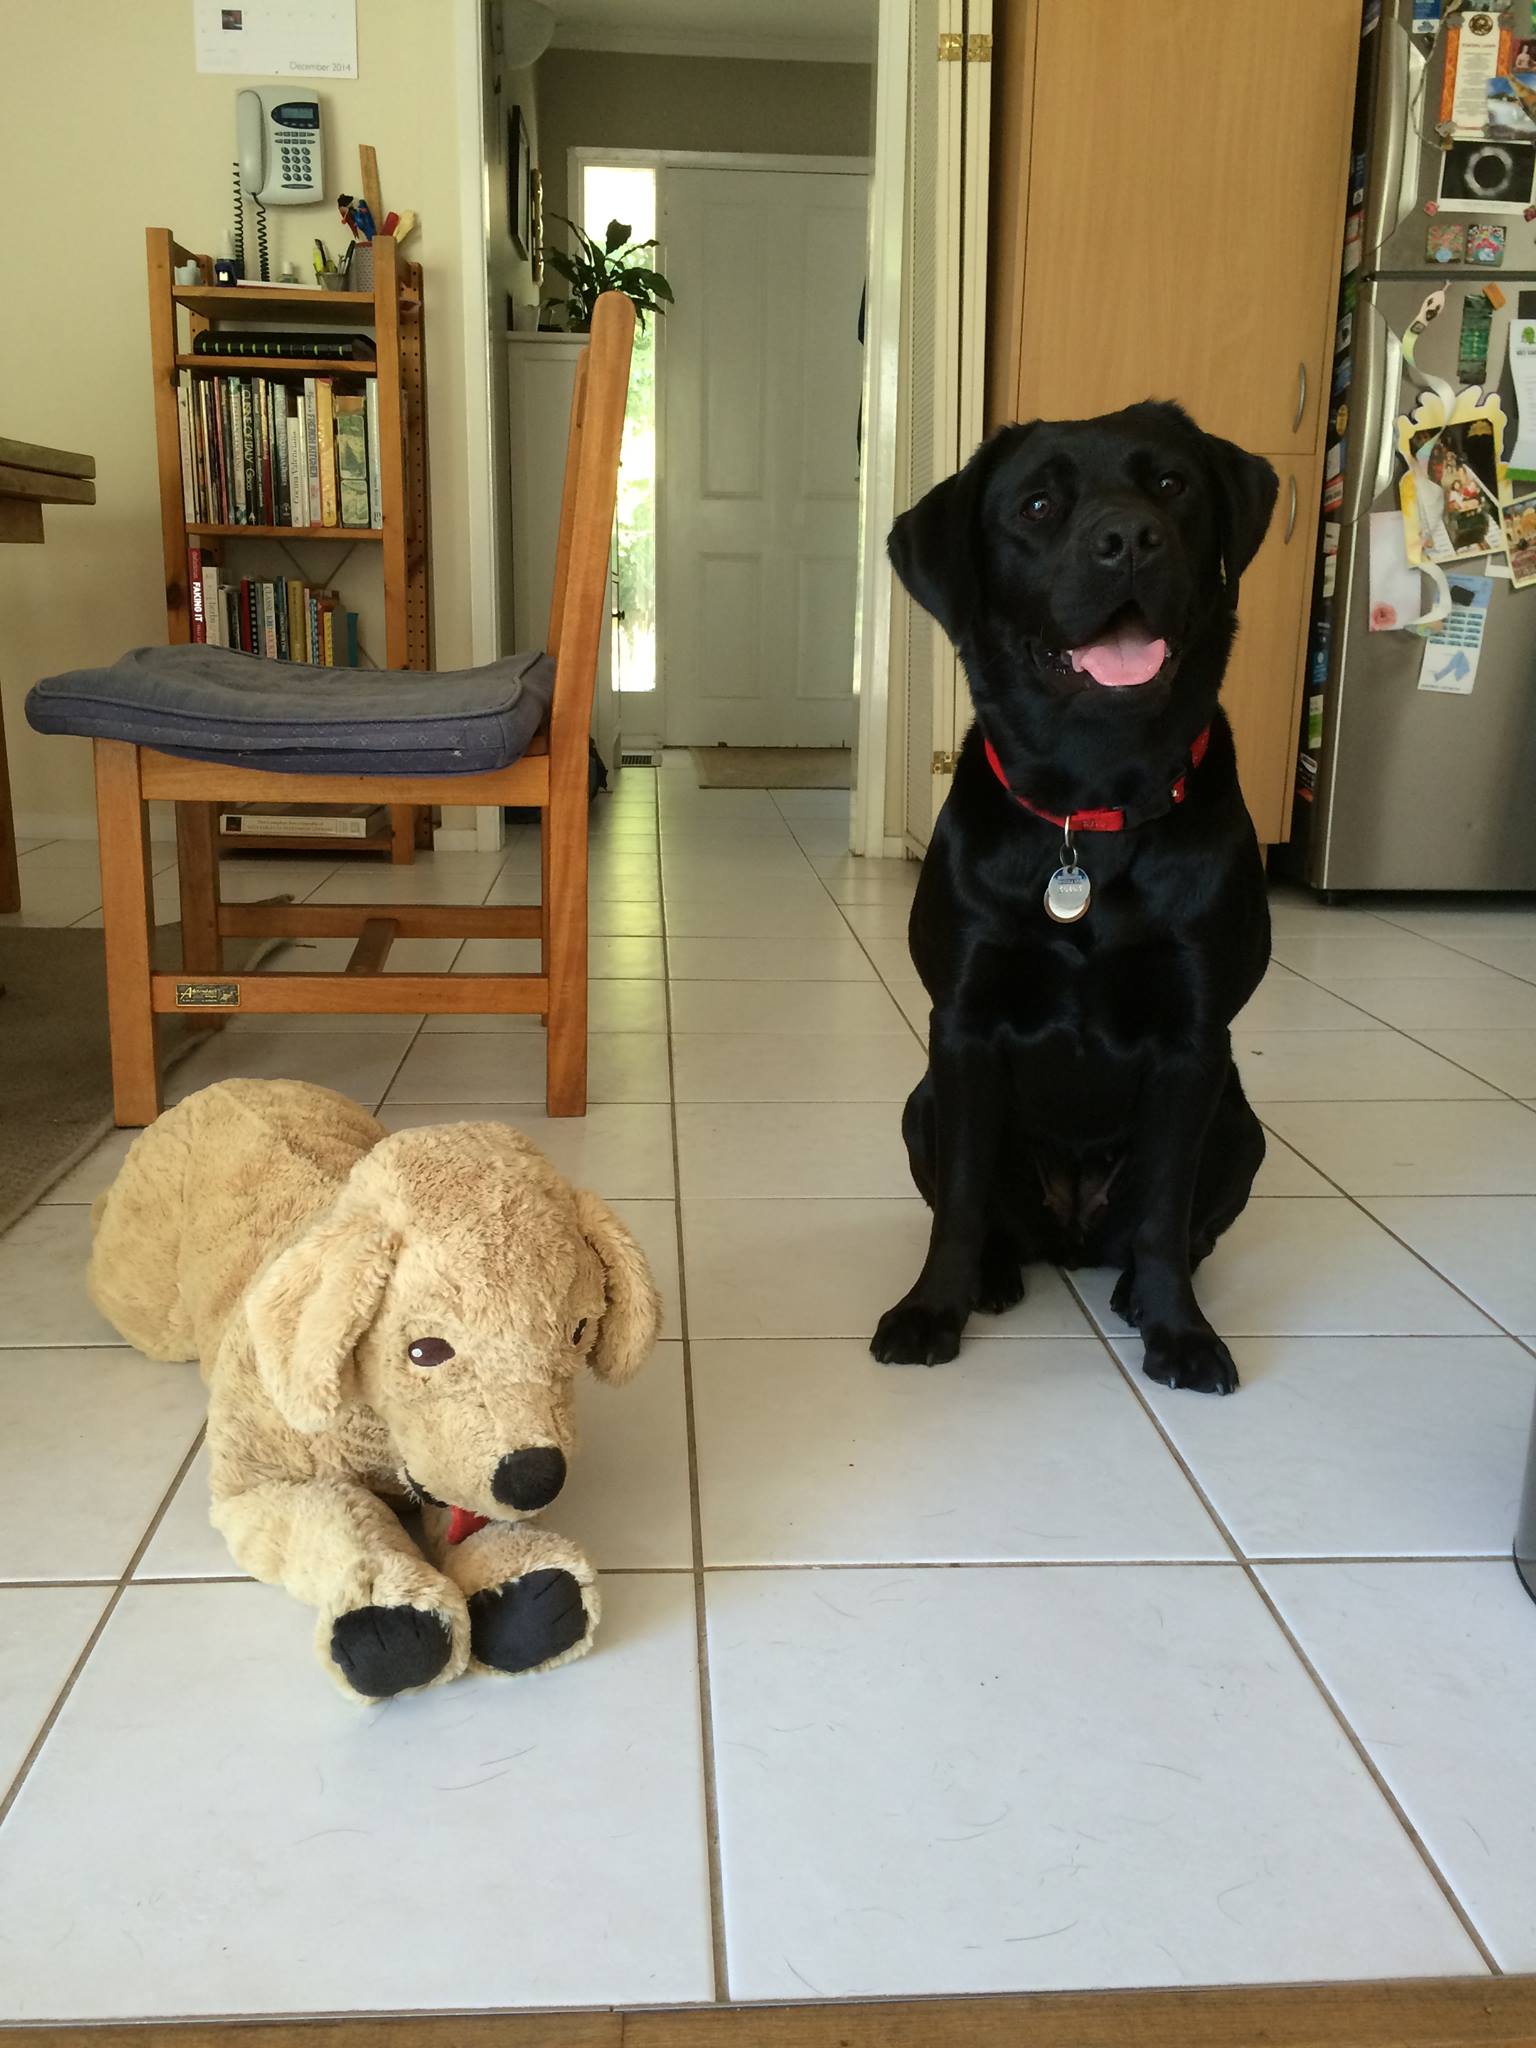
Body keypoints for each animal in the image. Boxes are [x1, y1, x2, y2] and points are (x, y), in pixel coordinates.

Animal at [872, 403, 1278, 1395]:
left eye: (1171, 484)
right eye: (1038, 505)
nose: (1129, 538)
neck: (1087, 820)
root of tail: (1071, 1233)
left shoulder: (1194, 1043)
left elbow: (1167, 1215)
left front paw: (1180, 1332)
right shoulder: (963, 1027)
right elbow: (960, 1201)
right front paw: (930, 1311)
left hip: (1241, 1126)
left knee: (1173, 1230)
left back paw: (1132, 1290)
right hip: (920, 1105)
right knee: (984, 1210)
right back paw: (992, 1275)